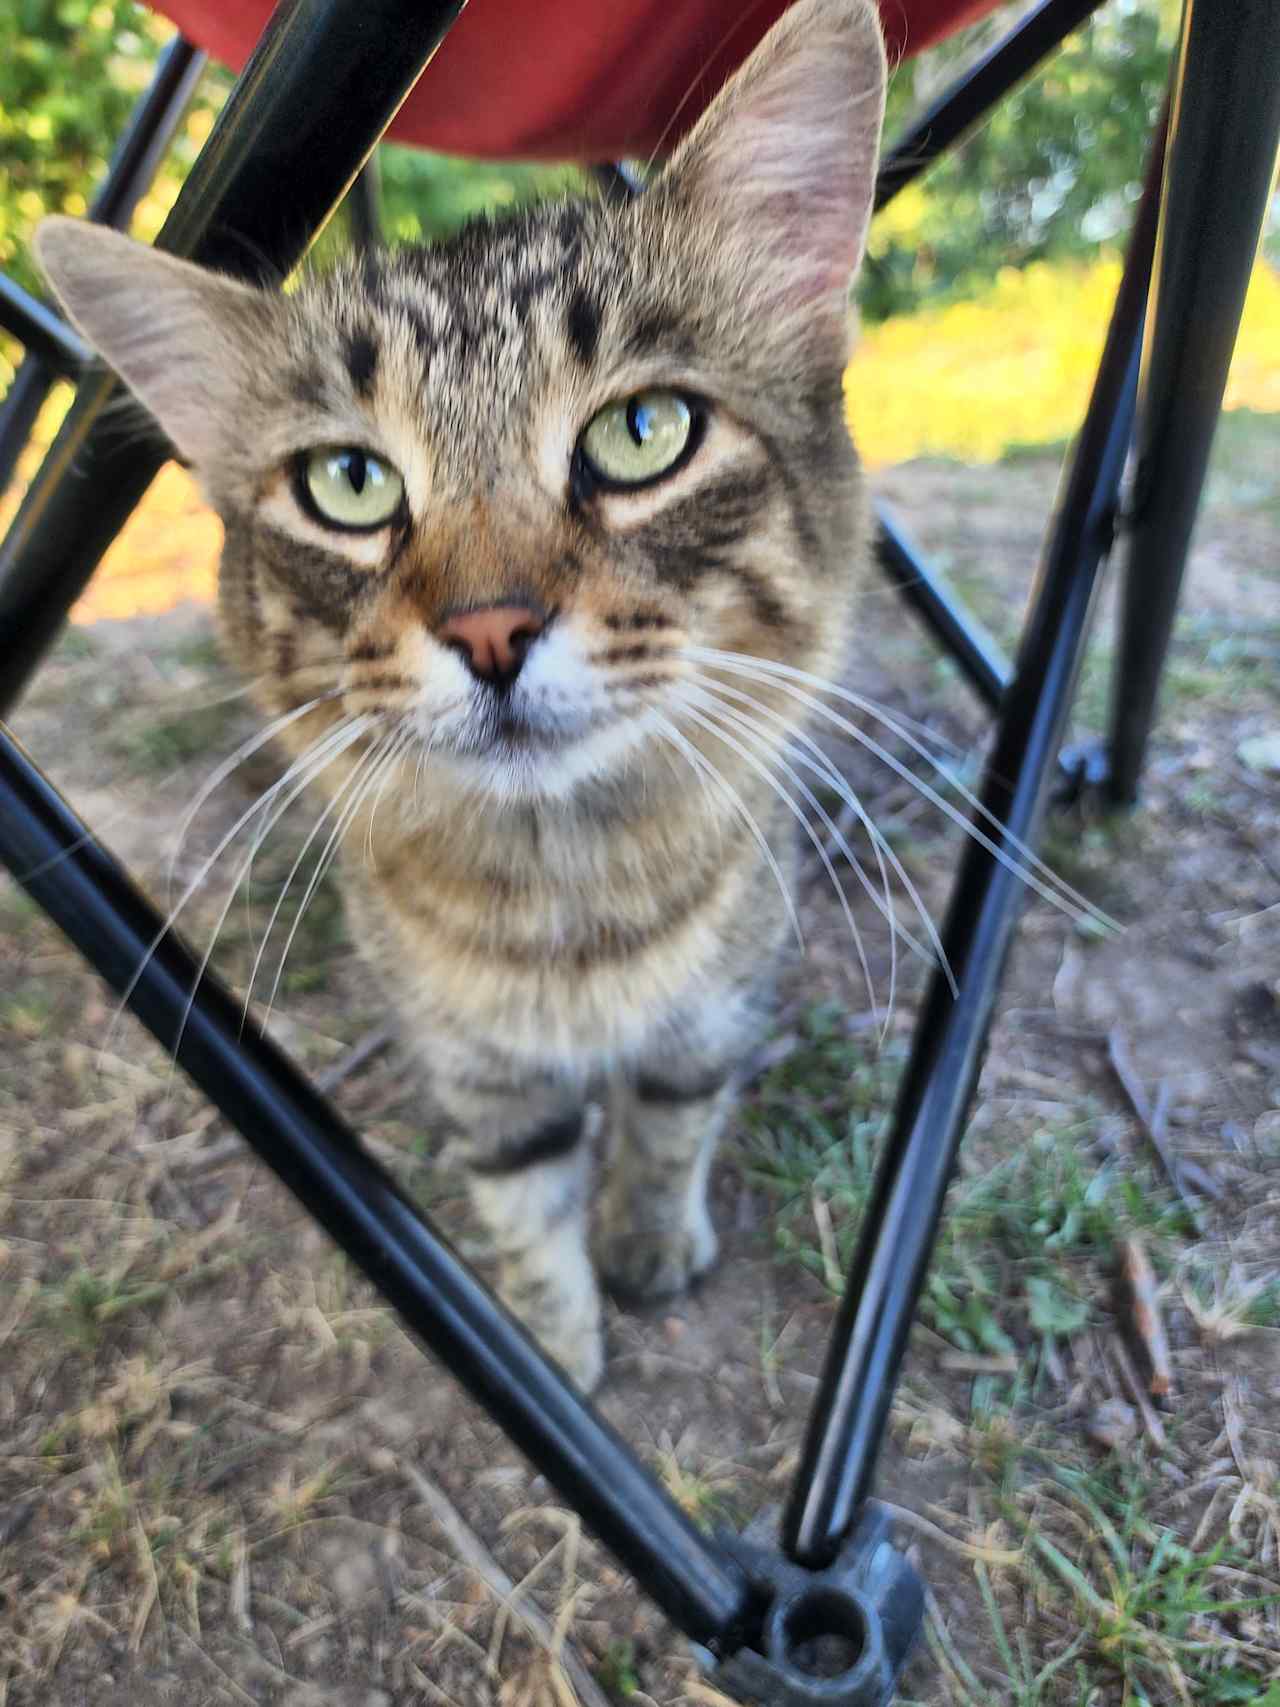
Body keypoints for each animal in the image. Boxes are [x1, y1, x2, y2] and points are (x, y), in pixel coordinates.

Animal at [34, 0, 887, 1392]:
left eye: (643, 432)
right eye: (348, 483)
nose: (490, 629)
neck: (570, 908)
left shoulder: (713, 1003)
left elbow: (668, 1125)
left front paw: (648, 1243)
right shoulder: (481, 1076)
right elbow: (524, 1212)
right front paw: (554, 1348)